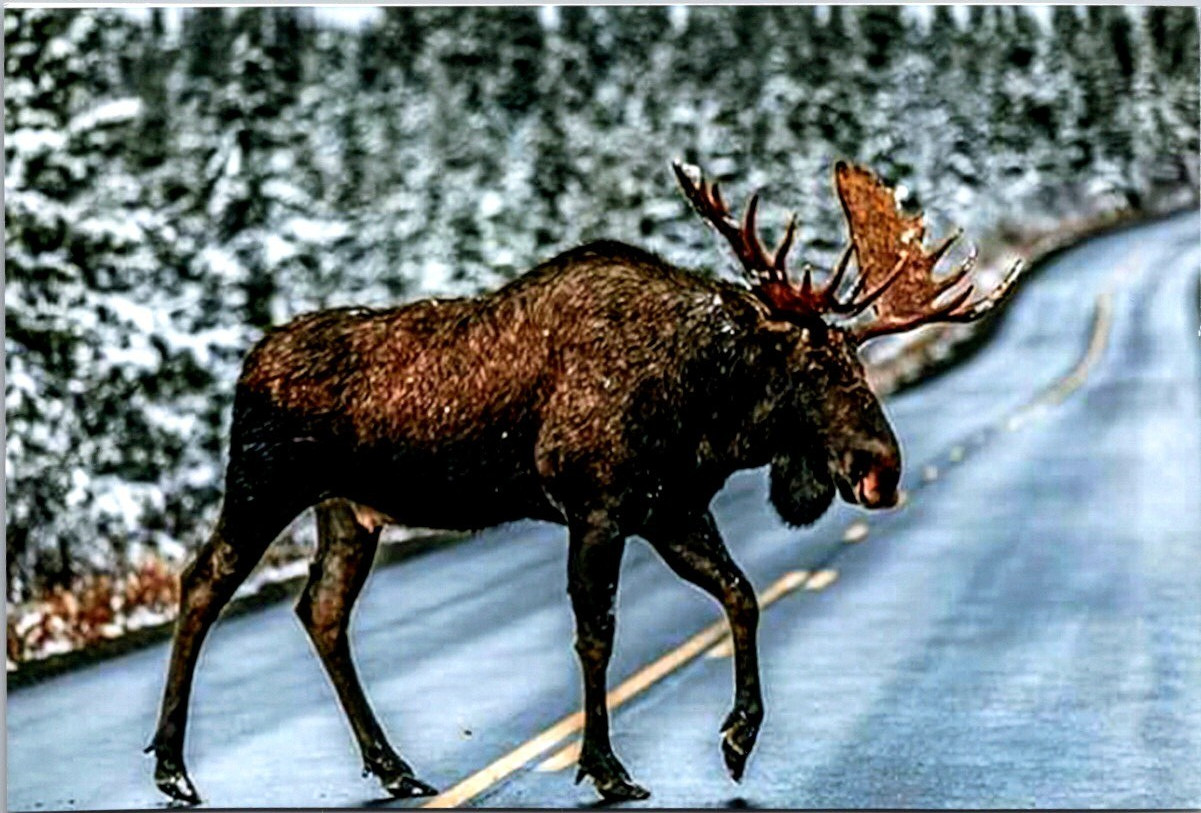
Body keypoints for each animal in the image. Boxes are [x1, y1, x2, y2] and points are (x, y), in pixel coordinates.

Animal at [146, 161, 1022, 805]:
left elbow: (741, 595)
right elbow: (596, 634)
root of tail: (247, 365)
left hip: (348, 511)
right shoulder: (597, 508)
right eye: (811, 367)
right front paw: (606, 767)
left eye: (859, 364)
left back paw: (392, 765)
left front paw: (738, 738)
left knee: (321, 609)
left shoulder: (670, 510)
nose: (883, 468)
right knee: (203, 582)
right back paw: (173, 768)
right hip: (264, 482)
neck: (705, 407)